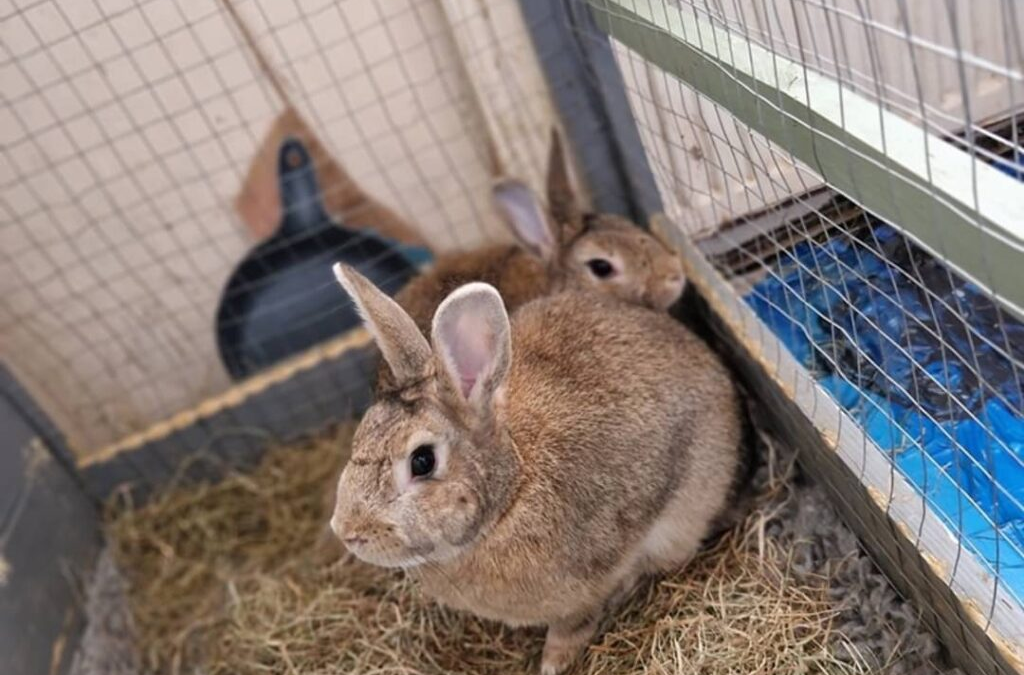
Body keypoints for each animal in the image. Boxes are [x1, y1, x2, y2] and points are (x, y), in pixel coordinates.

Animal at [331, 266, 741, 675]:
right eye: (364, 429)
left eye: (422, 461)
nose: (346, 532)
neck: (512, 493)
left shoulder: (590, 585)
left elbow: (574, 626)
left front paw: (553, 664)